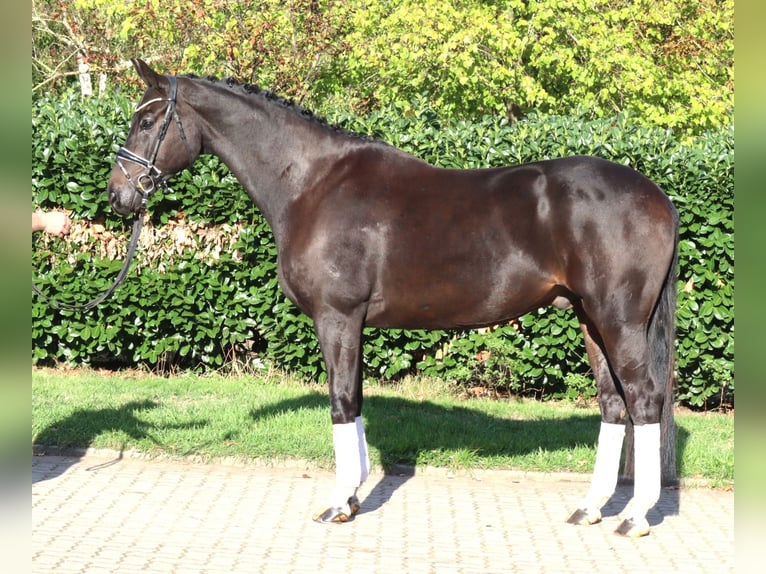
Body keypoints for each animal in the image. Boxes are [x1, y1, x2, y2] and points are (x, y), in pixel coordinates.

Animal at [108, 59, 678, 537]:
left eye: (147, 120)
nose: (118, 195)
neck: (311, 183)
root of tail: (657, 196)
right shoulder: (352, 322)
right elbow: (355, 400)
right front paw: (354, 498)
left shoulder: (336, 317)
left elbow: (340, 401)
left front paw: (338, 504)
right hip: (589, 318)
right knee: (612, 404)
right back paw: (590, 508)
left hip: (618, 320)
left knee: (644, 399)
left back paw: (634, 516)